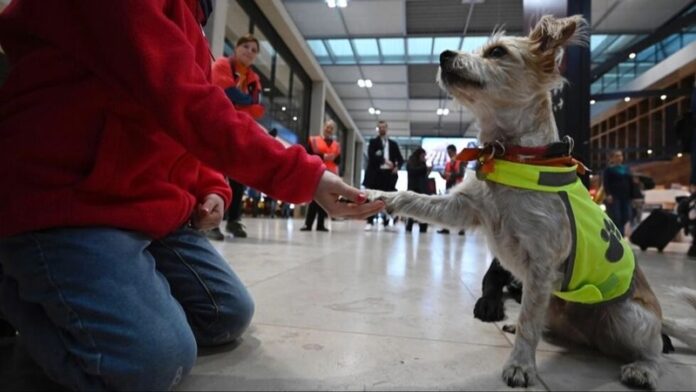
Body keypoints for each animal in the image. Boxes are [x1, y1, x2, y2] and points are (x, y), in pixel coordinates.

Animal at [364, 14, 696, 388]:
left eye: (497, 52)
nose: (444, 54)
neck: (511, 154)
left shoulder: (541, 263)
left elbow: (528, 323)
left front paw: (521, 364)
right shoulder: (463, 209)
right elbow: (412, 196)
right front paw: (378, 195)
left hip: (628, 317)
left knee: (653, 350)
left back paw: (643, 368)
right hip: (558, 307)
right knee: (547, 326)